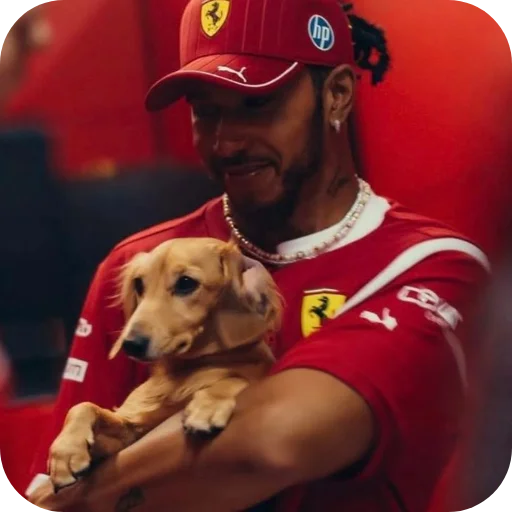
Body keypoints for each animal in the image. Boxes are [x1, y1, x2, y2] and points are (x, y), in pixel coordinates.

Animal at [46, 238, 282, 492]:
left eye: (186, 283)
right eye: (139, 284)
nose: (131, 344)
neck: (184, 370)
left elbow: (235, 378)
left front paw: (208, 406)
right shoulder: (132, 430)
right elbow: (83, 406)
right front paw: (66, 451)